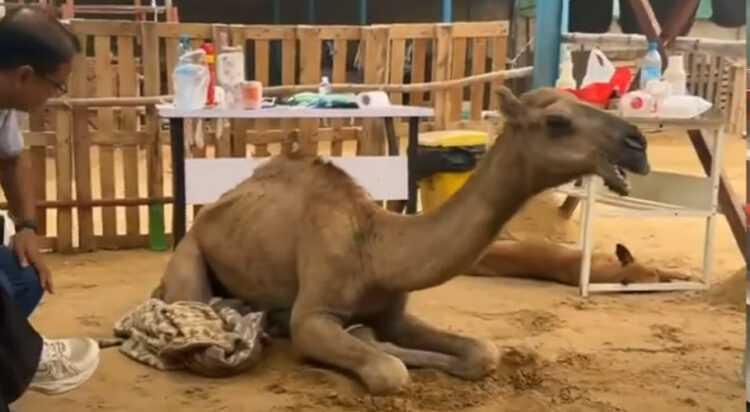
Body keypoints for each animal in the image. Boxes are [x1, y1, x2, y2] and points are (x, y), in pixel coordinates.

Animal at [152, 87, 651, 394]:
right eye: (557, 121)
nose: (637, 143)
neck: (377, 250)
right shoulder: (312, 314)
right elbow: (389, 372)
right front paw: (368, 344)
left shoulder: (395, 310)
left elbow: (483, 353)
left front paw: (372, 336)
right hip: (189, 258)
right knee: (191, 303)